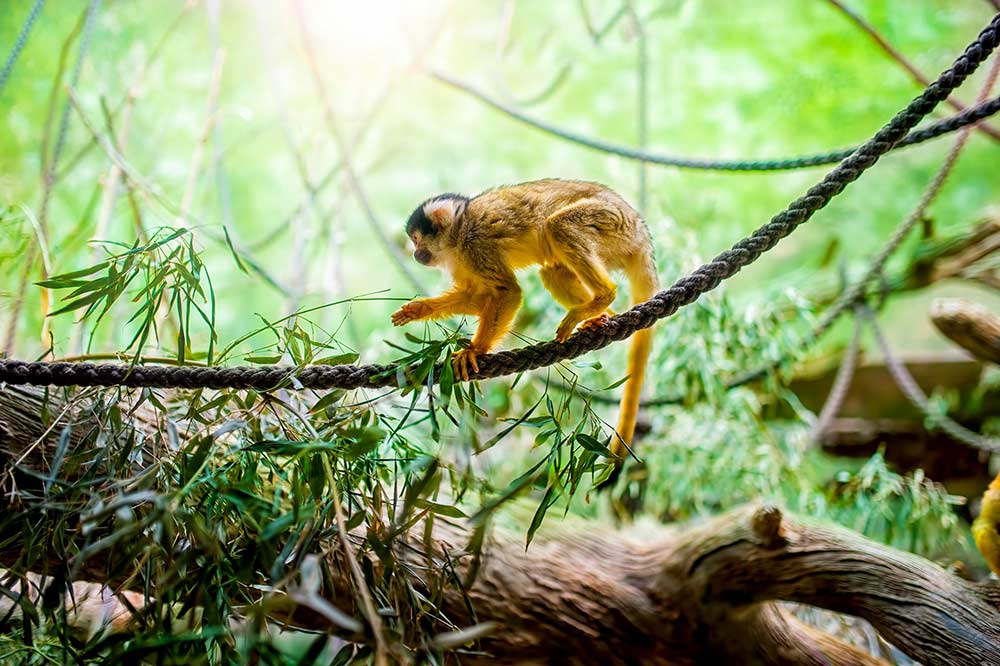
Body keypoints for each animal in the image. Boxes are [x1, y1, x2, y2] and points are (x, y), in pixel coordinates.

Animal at [394, 178, 660, 456]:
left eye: (417, 240)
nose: (415, 254)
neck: (457, 233)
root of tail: (641, 230)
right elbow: (478, 299)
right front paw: (419, 310)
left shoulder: (476, 243)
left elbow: (507, 292)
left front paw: (475, 350)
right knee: (553, 271)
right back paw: (600, 316)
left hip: (614, 223)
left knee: (560, 225)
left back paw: (603, 296)